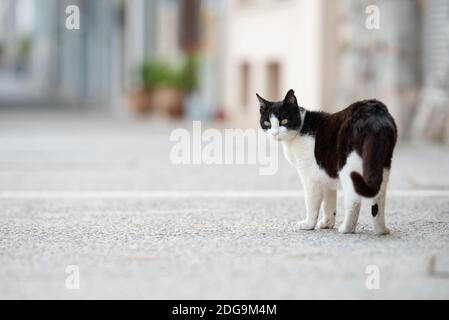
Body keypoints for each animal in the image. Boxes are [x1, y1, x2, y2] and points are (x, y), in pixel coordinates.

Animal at [256, 90, 396, 235]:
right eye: (267, 123)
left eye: (284, 120)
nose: (274, 133)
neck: (301, 129)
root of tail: (375, 114)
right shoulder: (325, 173)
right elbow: (329, 202)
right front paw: (327, 223)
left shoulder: (310, 177)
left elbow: (311, 202)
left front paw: (309, 224)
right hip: (382, 165)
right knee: (378, 199)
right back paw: (381, 230)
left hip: (349, 167)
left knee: (354, 199)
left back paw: (346, 229)